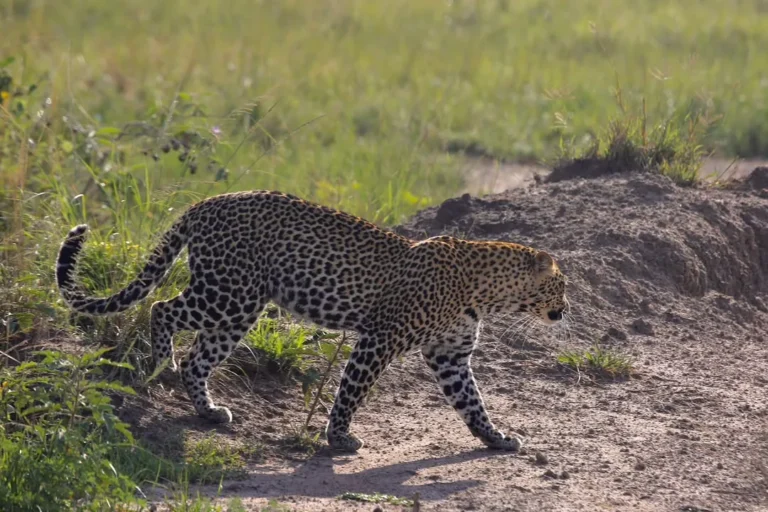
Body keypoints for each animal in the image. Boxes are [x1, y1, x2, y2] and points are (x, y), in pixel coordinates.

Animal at [56, 190, 568, 452]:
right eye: (561, 287)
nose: (566, 310)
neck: (487, 293)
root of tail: (206, 202)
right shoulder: (379, 340)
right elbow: (351, 392)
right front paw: (338, 437)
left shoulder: (451, 355)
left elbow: (472, 402)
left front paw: (495, 437)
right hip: (228, 293)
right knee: (162, 310)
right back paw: (160, 365)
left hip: (240, 306)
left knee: (199, 359)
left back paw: (208, 410)